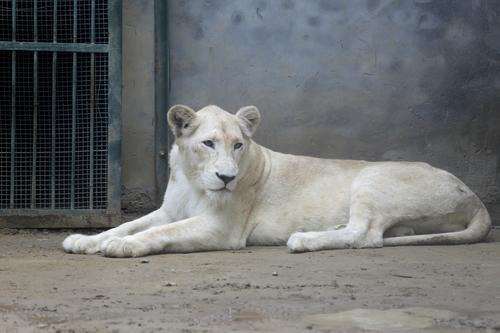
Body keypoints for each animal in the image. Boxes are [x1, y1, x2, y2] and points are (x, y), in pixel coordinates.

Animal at [61, 104, 488, 256]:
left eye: (238, 145)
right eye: (208, 143)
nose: (227, 177)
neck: (194, 179)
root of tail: (476, 198)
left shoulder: (223, 228)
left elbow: (154, 233)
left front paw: (122, 246)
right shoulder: (169, 210)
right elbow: (130, 223)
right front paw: (85, 239)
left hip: (371, 176)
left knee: (366, 235)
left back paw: (304, 239)